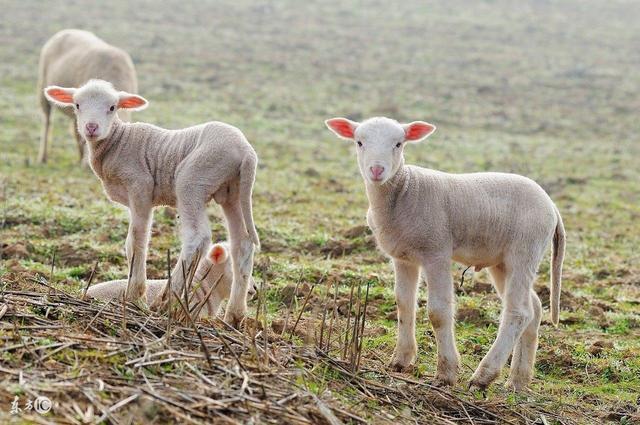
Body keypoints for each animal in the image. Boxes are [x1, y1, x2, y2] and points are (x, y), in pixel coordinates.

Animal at [37, 28, 138, 164]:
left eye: (112, 108)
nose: (92, 127)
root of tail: (69, 30)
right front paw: (85, 162)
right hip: (42, 88)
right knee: (47, 122)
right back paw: (43, 157)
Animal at [324, 116, 564, 390]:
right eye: (359, 142)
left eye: (398, 144)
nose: (376, 170)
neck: (405, 189)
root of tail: (552, 206)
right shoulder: (403, 258)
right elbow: (404, 304)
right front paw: (400, 360)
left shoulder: (436, 253)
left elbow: (438, 312)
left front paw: (446, 373)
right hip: (502, 261)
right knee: (533, 308)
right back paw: (518, 381)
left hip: (524, 250)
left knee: (518, 312)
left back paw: (483, 376)